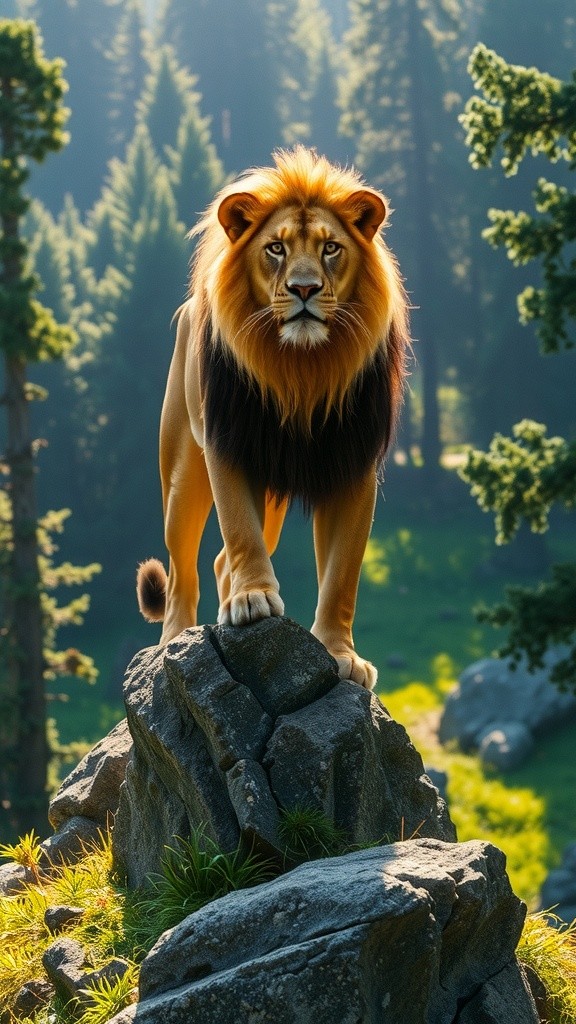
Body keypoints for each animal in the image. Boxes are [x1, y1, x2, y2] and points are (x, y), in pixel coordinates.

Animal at [137, 147, 409, 690]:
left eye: (330, 248)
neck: (301, 369)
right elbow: (241, 529)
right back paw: (172, 640)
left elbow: (342, 574)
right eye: (276, 249)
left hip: (275, 498)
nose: (304, 289)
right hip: (182, 475)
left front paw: (340, 653)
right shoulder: (229, 442)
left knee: (220, 558)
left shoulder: (354, 464)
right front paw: (252, 599)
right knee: (182, 569)